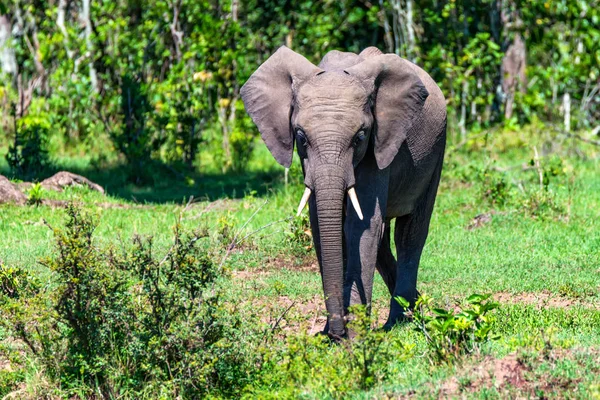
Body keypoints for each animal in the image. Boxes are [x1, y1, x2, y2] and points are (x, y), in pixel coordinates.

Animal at [239, 47, 446, 340]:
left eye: (359, 137)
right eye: (301, 136)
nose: (336, 332)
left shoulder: (377, 146)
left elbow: (360, 226)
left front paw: (356, 337)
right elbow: (322, 225)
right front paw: (331, 334)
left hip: (437, 150)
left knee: (410, 233)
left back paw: (398, 322)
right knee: (383, 242)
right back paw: (415, 308)